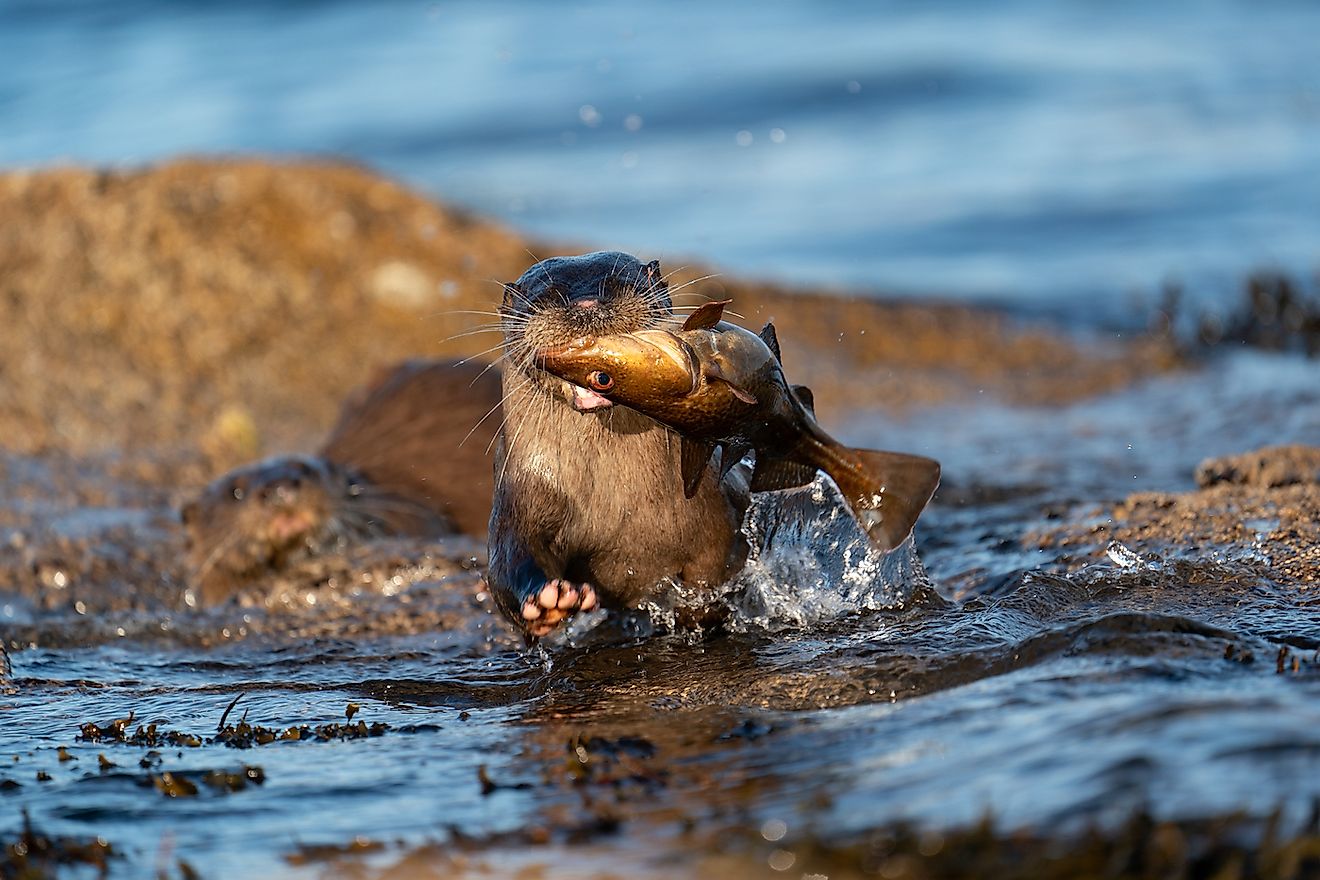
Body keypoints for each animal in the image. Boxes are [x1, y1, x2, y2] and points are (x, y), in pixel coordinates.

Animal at [488, 250, 755, 635]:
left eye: (616, 283)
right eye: (546, 296)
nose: (585, 305)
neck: (621, 506)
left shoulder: (720, 512)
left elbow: (719, 565)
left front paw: (698, 609)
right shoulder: (520, 495)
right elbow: (506, 566)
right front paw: (549, 604)